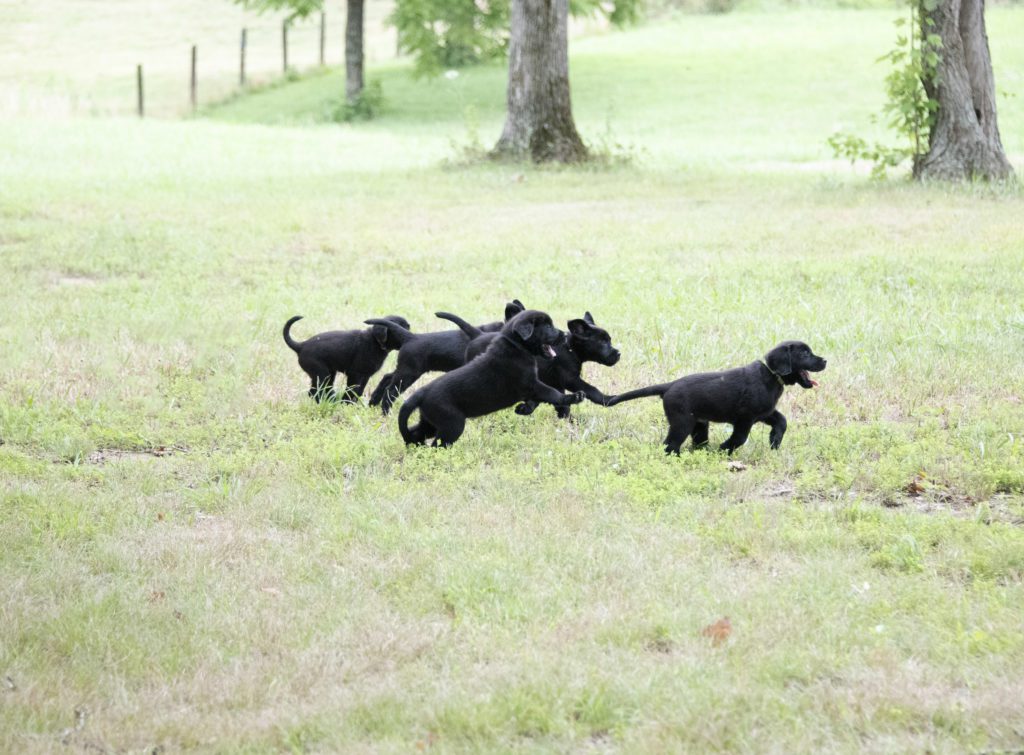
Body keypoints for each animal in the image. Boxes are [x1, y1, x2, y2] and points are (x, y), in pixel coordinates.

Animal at [368, 297, 524, 411]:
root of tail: (410, 337)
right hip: (408, 373)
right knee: (391, 390)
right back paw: (385, 412)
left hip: (405, 369)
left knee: (387, 378)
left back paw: (373, 403)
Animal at [397, 307, 581, 446]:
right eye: (548, 327)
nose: (565, 335)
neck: (515, 346)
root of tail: (421, 394)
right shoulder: (531, 384)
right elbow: (552, 393)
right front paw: (574, 397)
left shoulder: (531, 386)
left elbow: (539, 399)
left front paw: (523, 409)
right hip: (451, 424)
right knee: (438, 445)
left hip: (430, 421)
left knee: (416, 433)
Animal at [436, 309, 618, 422]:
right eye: (603, 342)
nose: (618, 354)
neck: (570, 348)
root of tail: (477, 334)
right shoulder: (569, 379)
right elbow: (589, 390)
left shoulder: (552, 383)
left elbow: (557, 403)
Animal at [602, 340, 827, 452]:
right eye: (805, 354)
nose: (825, 360)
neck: (771, 375)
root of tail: (669, 386)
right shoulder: (745, 418)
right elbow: (739, 438)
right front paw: (725, 448)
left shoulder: (765, 412)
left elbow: (782, 421)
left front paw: (775, 442)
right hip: (682, 423)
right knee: (670, 445)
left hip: (699, 425)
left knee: (695, 443)